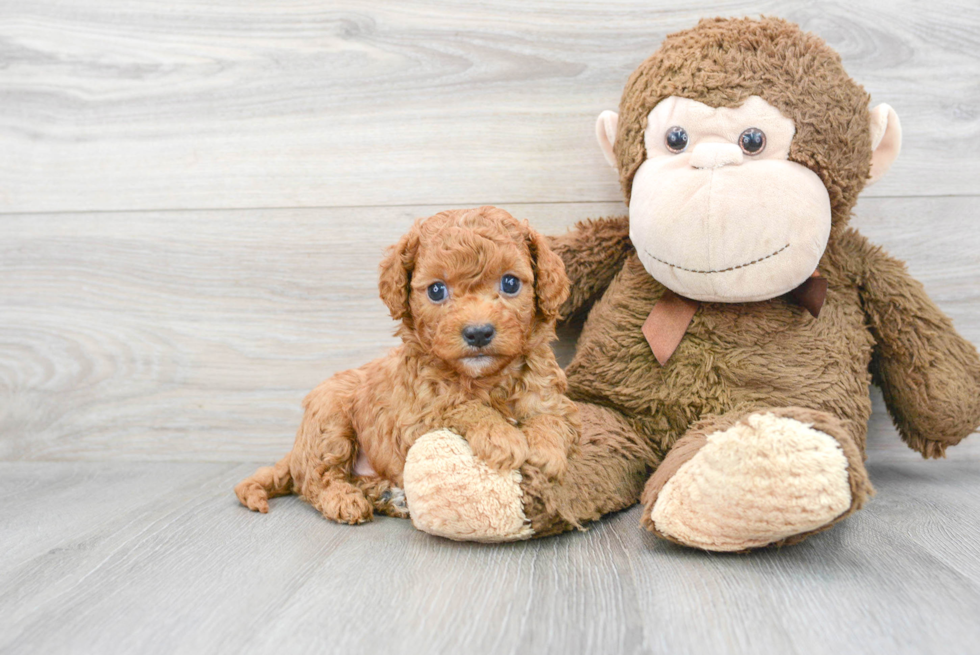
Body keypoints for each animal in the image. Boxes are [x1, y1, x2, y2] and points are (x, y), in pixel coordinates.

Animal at [234, 208, 580, 524]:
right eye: (436, 290)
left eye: (510, 283)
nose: (479, 332)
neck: (484, 379)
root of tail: (295, 450)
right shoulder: (416, 418)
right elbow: (460, 406)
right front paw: (500, 435)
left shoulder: (550, 396)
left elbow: (550, 417)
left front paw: (546, 450)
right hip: (329, 420)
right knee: (316, 479)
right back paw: (345, 500)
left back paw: (389, 497)